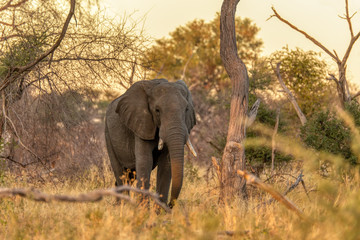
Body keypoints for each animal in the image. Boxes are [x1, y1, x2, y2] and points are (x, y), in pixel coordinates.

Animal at [105, 79, 197, 208]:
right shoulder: (141, 124)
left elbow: (166, 164)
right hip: (108, 134)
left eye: (186, 109)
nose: (170, 205)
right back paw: (123, 206)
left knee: (129, 176)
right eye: (157, 110)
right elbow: (145, 161)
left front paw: (160, 210)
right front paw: (143, 210)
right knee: (120, 173)